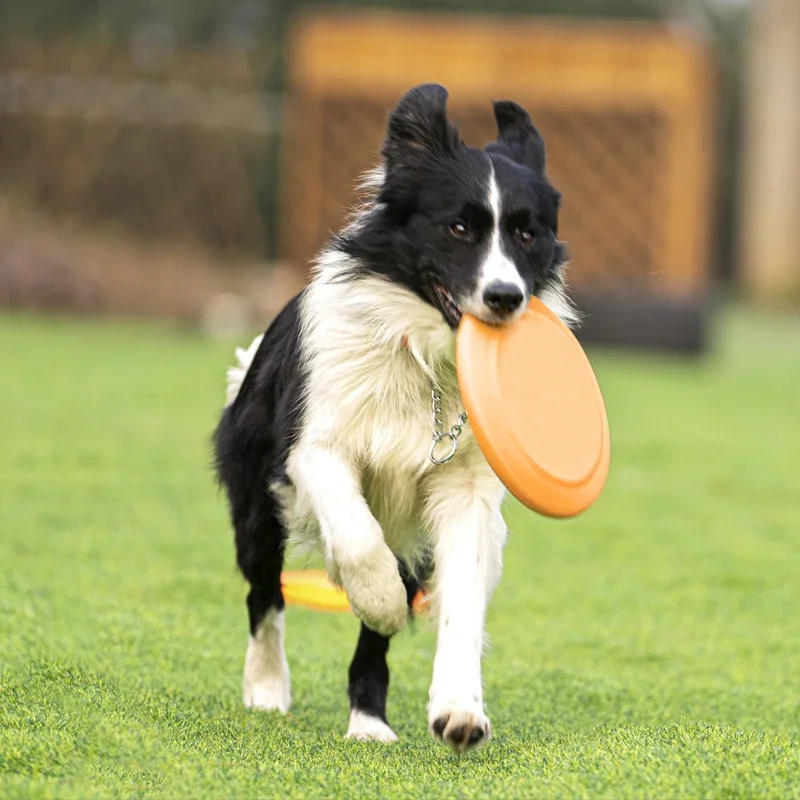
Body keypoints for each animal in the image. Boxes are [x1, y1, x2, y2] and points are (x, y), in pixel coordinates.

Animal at [212, 83, 576, 752]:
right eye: (458, 227)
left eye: (527, 235)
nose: (506, 298)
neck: (425, 360)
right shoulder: (314, 449)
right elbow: (358, 542)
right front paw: (377, 595)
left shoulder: (463, 490)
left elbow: (461, 602)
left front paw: (459, 709)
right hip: (255, 504)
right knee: (265, 595)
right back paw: (268, 688)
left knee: (374, 638)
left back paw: (368, 722)